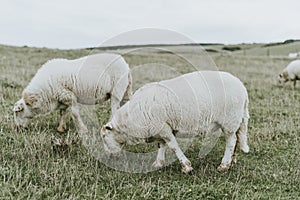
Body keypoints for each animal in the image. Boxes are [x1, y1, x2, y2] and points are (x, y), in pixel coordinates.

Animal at [99, 71, 250, 173]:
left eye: (104, 136)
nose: (109, 157)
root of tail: (242, 88)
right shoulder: (160, 128)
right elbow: (161, 145)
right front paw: (158, 163)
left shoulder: (163, 128)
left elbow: (173, 146)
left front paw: (186, 166)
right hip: (235, 120)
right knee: (236, 138)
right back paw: (232, 161)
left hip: (229, 120)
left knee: (231, 141)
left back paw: (224, 165)